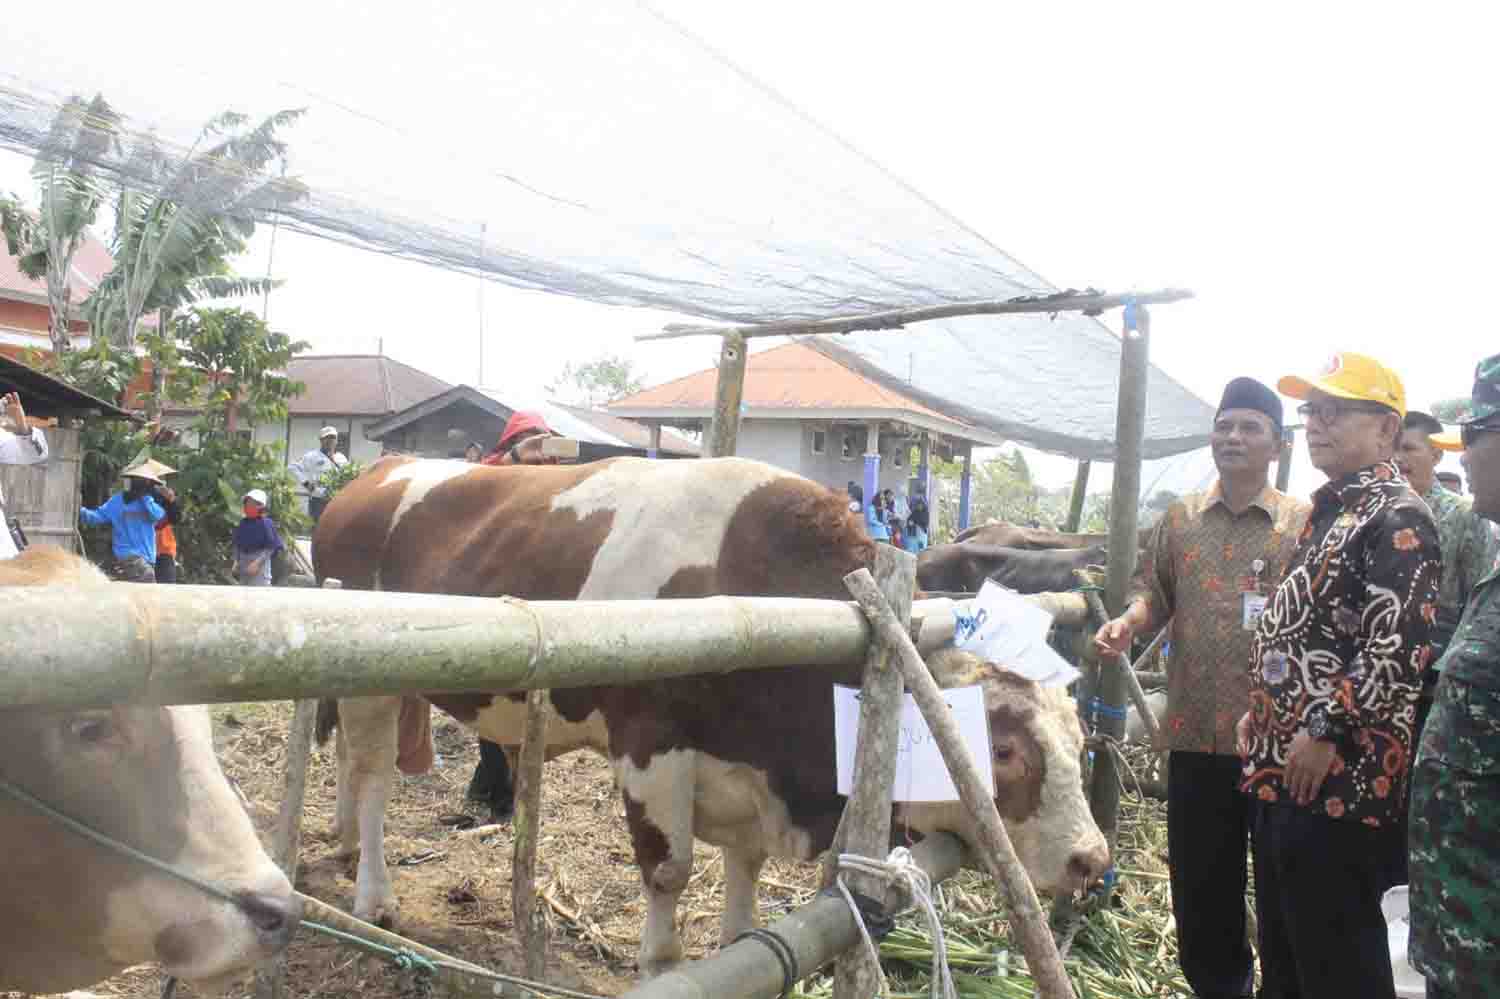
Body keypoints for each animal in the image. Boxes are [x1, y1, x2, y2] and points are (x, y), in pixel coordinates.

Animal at [313, 456, 1116, 972]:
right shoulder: (650, 749)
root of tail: (375, 473)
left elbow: (746, 884)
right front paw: (662, 963)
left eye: (1080, 736)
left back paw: (345, 844)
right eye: (1004, 747)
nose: (1093, 857)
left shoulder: (747, 775)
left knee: (353, 762)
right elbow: (669, 874)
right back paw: (374, 893)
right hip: (369, 680)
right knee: (376, 775)